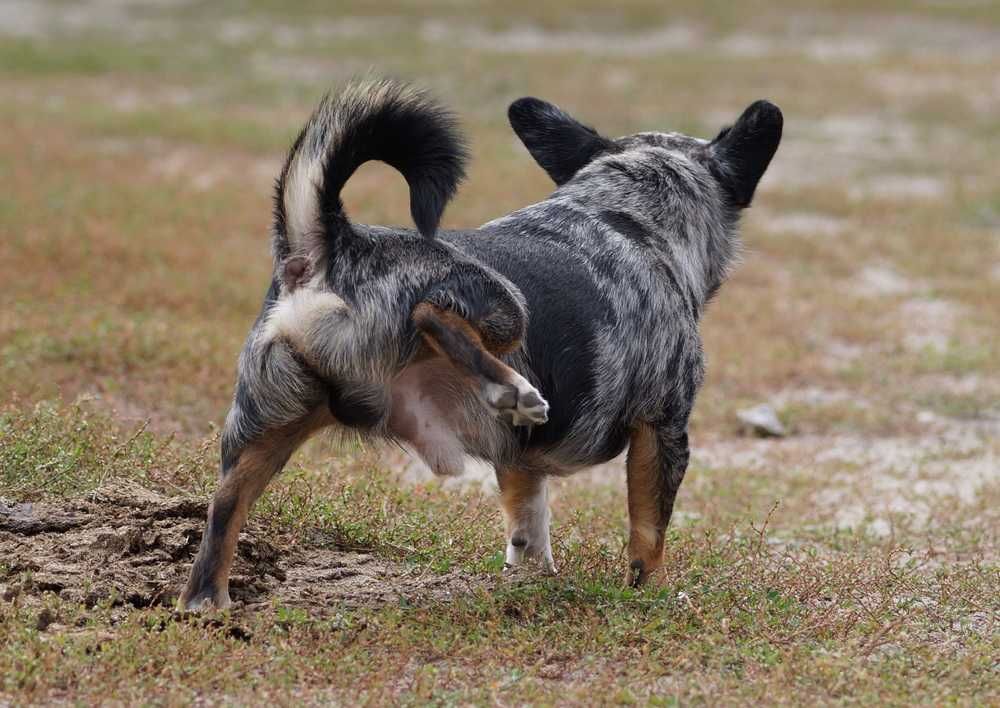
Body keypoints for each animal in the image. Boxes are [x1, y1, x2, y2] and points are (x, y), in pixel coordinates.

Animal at [184, 76, 784, 608]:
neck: (623, 214)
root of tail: (331, 244)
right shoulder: (663, 429)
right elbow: (649, 532)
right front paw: (650, 593)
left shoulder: (520, 460)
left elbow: (528, 519)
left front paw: (534, 576)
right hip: (503, 304)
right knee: (432, 313)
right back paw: (507, 386)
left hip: (263, 431)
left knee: (223, 511)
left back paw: (206, 601)